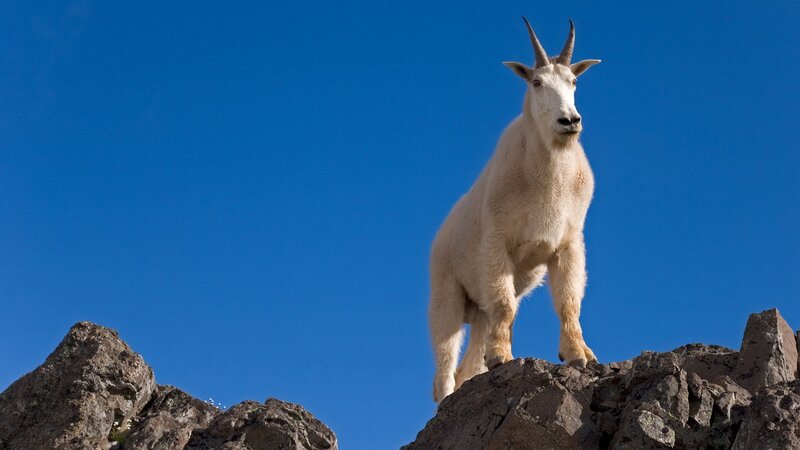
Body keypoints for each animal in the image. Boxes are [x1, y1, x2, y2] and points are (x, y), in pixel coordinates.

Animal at [429, 18, 602, 403]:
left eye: (574, 82)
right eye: (536, 83)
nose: (569, 121)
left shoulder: (569, 244)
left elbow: (568, 301)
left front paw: (579, 354)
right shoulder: (497, 242)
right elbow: (506, 305)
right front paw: (502, 358)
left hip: (478, 310)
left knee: (468, 361)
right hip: (446, 292)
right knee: (445, 364)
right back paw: (446, 399)